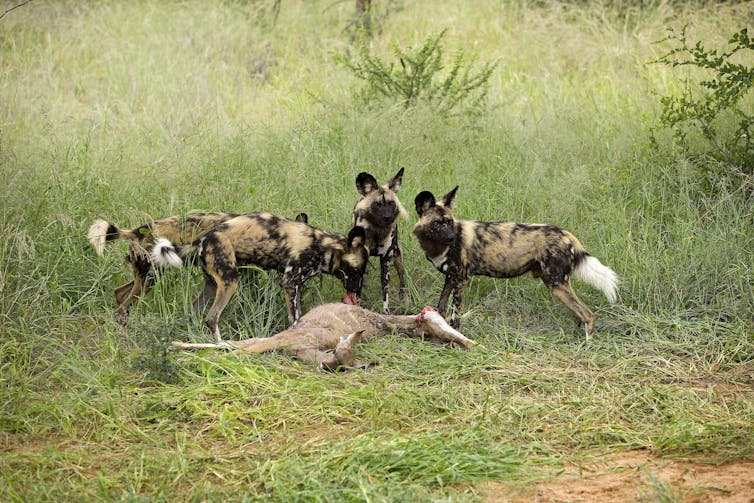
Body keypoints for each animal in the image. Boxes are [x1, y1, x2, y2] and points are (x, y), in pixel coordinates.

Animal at [151, 213, 368, 342]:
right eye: (359, 270)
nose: (357, 293)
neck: (322, 246)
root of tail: (202, 239)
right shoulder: (289, 284)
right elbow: (295, 318)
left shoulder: (296, 286)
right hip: (230, 281)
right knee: (212, 318)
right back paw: (221, 345)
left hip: (212, 286)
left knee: (195, 312)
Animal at [352, 167, 408, 314]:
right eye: (377, 204)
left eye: (391, 203)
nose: (388, 217)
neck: (377, 231)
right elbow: (358, 291)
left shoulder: (386, 260)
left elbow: (385, 294)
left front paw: (386, 313)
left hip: (397, 256)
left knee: (402, 279)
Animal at [412, 187, 616, 340]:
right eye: (438, 223)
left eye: (449, 222)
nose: (452, 237)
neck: (436, 246)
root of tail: (568, 235)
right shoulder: (450, 278)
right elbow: (441, 306)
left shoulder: (461, 280)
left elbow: (455, 316)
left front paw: (455, 336)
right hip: (560, 283)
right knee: (580, 312)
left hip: (555, 284)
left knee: (588, 314)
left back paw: (587, 345)